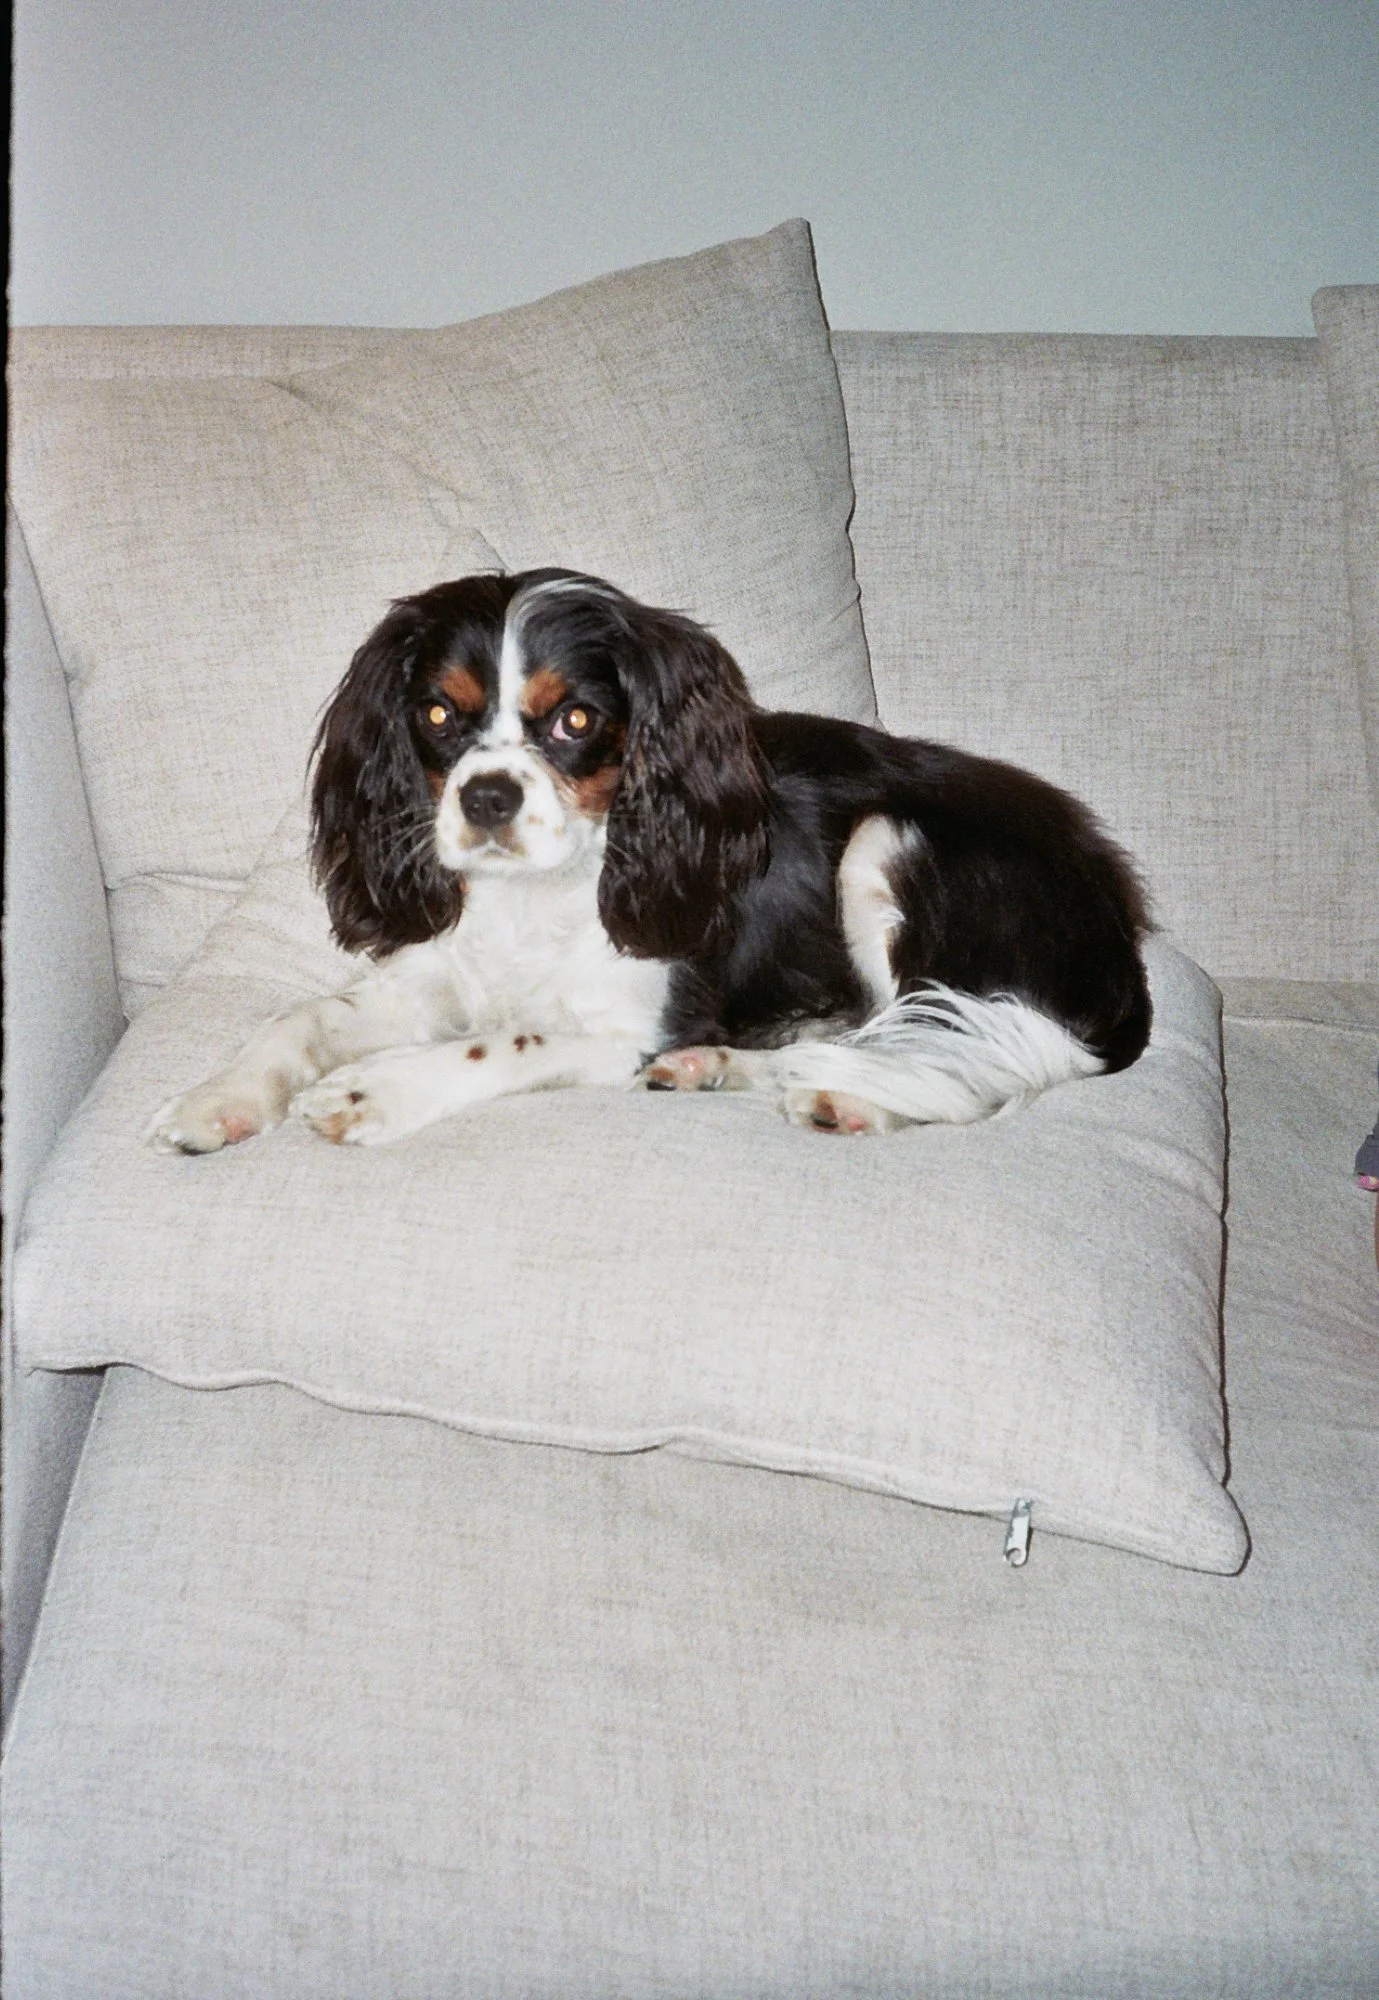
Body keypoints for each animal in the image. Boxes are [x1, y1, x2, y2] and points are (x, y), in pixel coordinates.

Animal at [147, 569, 1152, 1152]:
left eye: (574, 719)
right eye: (437, 714)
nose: (487, 797)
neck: (539, 892)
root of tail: (1117, 931)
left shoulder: (632, 1022)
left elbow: (506, 1040)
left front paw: (376, 1090)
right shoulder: (431, 979)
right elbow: (299, 1018)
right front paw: (219, 1098)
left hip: (888, 843)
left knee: (958, 1057)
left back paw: (853, 1101)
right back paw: (723, 1069)